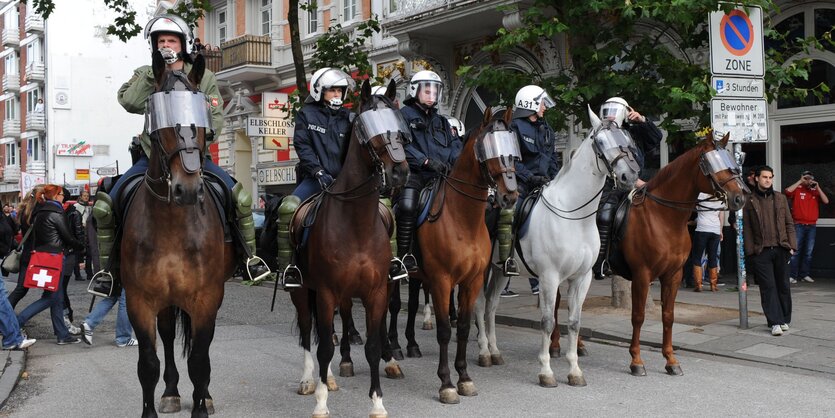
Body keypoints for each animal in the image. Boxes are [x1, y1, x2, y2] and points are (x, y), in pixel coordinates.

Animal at [120, 52, 232, 418]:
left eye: (200, 117)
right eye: (164, 122)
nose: (188, 189)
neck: (172, 226)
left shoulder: (206, 298)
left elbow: (199, 360)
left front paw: (200, 404)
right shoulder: (140, 301)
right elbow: (148, 364)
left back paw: (204, 396)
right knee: (168, 337)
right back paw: (170, 392)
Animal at [290, 79, 412, 418]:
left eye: (399, 125)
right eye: (367, 126)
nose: (399, 171)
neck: (355, 224)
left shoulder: (376, 291)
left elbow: (372, 346)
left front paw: (378, 402)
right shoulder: (326, 291)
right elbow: (323, 346)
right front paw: (320, 402)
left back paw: (329, 377)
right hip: (302, 291)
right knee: (309, 331)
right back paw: (310, 380)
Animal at [388, 108, 520, 404]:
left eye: (513, 147)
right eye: (488, 148)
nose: (509, 196)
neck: (462, 219)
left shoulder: (472, 281)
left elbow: (463, 328)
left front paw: (465, 378)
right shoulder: (441, 280)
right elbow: (445, 331)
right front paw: (446, 384)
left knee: (410, 305)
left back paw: (410, 345)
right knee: (392, 305)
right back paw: (392, 348)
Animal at [476, 107, 640, 388]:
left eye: (626, 138)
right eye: (600, 142)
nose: (629, 176)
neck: (574, 215)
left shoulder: (582, 278)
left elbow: (573, 322)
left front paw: (574, 370)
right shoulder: (549, 277)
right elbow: (547, 321)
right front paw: (546, 371)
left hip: (500, 271)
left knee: (491, 307)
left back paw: (495, 352)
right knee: (477, 305)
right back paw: (484, 352)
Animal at [608, 131, 744, 376]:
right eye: (713, 164)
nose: (739, 198)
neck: (663, 218)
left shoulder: (673, 274)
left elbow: (668, 316)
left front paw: (671, 360)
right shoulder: (641, 275)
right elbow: (638, 316)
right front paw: (636, 361)